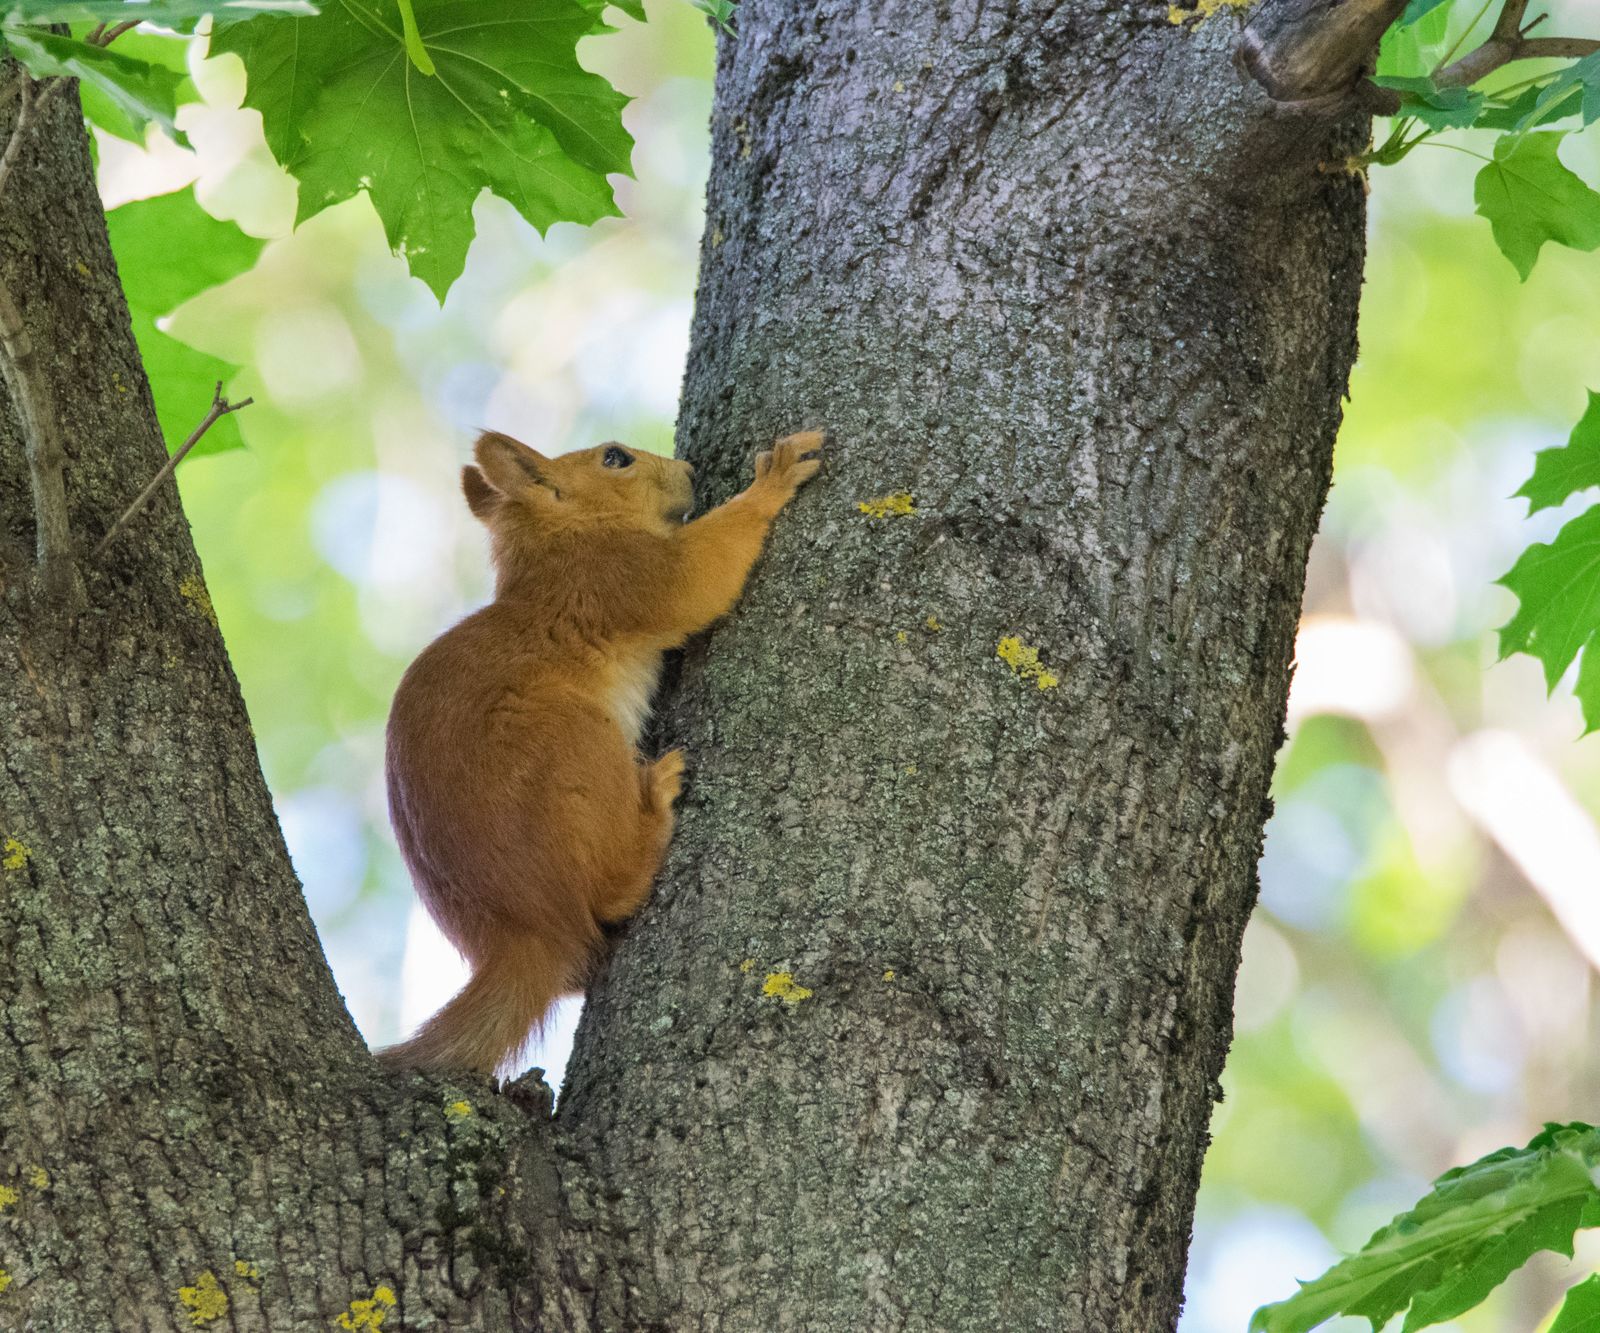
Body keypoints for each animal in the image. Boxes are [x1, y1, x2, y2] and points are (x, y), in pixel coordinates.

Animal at [379, 432, 819, 1075]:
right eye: (615, 458)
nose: (690, 470)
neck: (563, 541)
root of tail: (532, 931)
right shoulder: (621, 577)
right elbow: (696, 580)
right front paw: (775, 476)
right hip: (574, 745)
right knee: (611, 893)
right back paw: (655, 801)